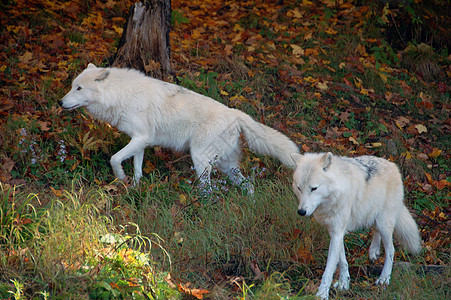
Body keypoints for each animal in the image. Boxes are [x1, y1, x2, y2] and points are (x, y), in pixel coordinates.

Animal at [60, 64, 300, 193]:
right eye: (72, 87)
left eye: (79, 88)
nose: (60, 102)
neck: (122, 94)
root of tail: (235, 114)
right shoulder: (141, 141)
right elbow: (137, 168)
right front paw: (135, 187)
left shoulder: (140, 139)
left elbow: (114, 158)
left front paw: (120, 177)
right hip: (226, 166)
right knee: (248, 185)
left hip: (200, 160)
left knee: (209, 190)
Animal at [292, 154, 422, 298]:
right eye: (299, 188)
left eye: (314, 188)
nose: (301, 212)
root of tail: (393, 165)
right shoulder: (336, 231)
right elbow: (342, 261)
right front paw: (344, 283)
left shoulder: (337, 232)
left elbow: (329, 269)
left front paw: (322, 294)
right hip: (373, 216)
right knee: (376, 231)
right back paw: (374, 251)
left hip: (384, 223)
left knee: (391, 250)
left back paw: (384, 279)